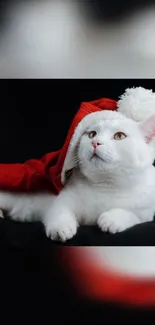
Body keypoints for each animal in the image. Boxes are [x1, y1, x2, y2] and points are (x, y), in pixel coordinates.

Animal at [0, 111, 155, 240]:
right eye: (92, 134)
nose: (95, 142)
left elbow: (133, 214)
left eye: (119, 136)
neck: (104, 186)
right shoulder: (62, 200)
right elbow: (60, 211)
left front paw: (112, 218)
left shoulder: (147, 211)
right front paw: (60, 228)